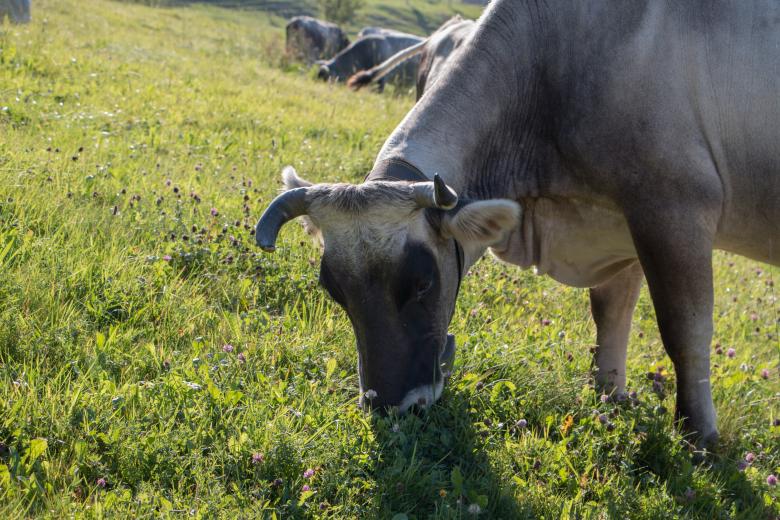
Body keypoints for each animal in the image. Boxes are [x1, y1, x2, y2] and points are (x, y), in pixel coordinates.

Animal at [257, 0, 780, 449]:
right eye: (333, 290)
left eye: (424, 283)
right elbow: (611, 316)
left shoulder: (673, 207)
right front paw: (610, 398)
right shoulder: (618, 221)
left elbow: (684, 331)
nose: (392, 408)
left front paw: (699, 437)